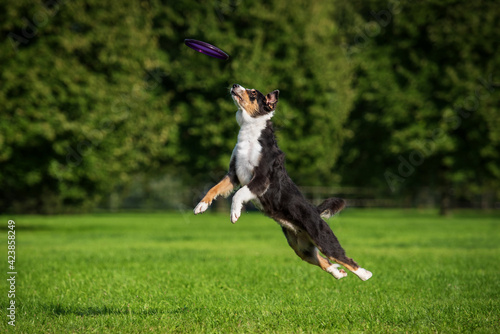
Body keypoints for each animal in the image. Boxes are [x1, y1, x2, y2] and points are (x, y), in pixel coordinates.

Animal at [193, 84, 374, 282]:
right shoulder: (234, 174)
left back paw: (365, 274)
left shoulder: (261, 178)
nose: (234, 85)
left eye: (253, 92)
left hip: (324, 239)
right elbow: (214, 188)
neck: (250, 137)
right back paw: (338, 273)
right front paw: (201, 206)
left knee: (343, 258)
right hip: (301, 248)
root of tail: (316, 212)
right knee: (324, 261)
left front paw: (235, 214)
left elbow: (238, 195)